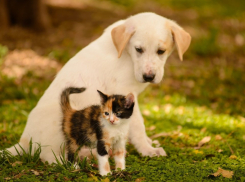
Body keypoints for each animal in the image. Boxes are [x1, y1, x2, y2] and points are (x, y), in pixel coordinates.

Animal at [4, 12, 190, 164]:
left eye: (161, 51)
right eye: (139, 49)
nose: (149, 77)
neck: (126, 54)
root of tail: (23, 141)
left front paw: (148, 142)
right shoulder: (125, 95)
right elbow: (138, 125)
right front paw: (148, 150)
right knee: (50, 156)